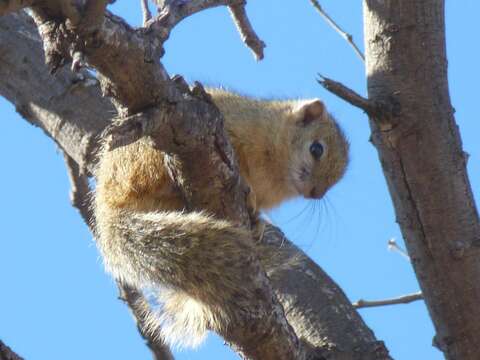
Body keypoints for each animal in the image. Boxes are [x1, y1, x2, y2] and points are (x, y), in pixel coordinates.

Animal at [94, 86, 348, 346]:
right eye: (316, 149)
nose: (316, 193)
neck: (277, 173)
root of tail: (107, 204)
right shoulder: (238, 129)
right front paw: (248, 192)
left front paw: (257, 221)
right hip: (143, 157)